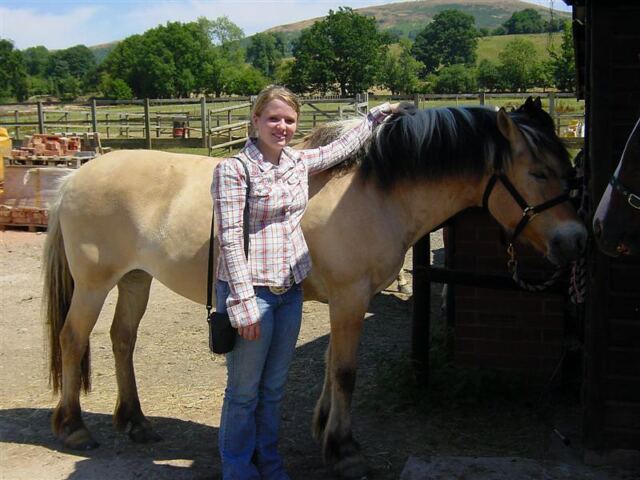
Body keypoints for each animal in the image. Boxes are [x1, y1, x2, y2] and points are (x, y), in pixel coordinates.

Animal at [42, 97, 586, 478]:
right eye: (538, 172)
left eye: (568, 170)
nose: (576, 240)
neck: (375, 190)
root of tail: (73, 180)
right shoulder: (350, 297)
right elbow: (344, 372)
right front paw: (344, 451)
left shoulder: (344, 301)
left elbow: (329, 366)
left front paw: (324, 431)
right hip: (94, 284)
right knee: (73, 338)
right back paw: (73, 427)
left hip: (135, 280)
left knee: (122, 340)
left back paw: (135, 422)